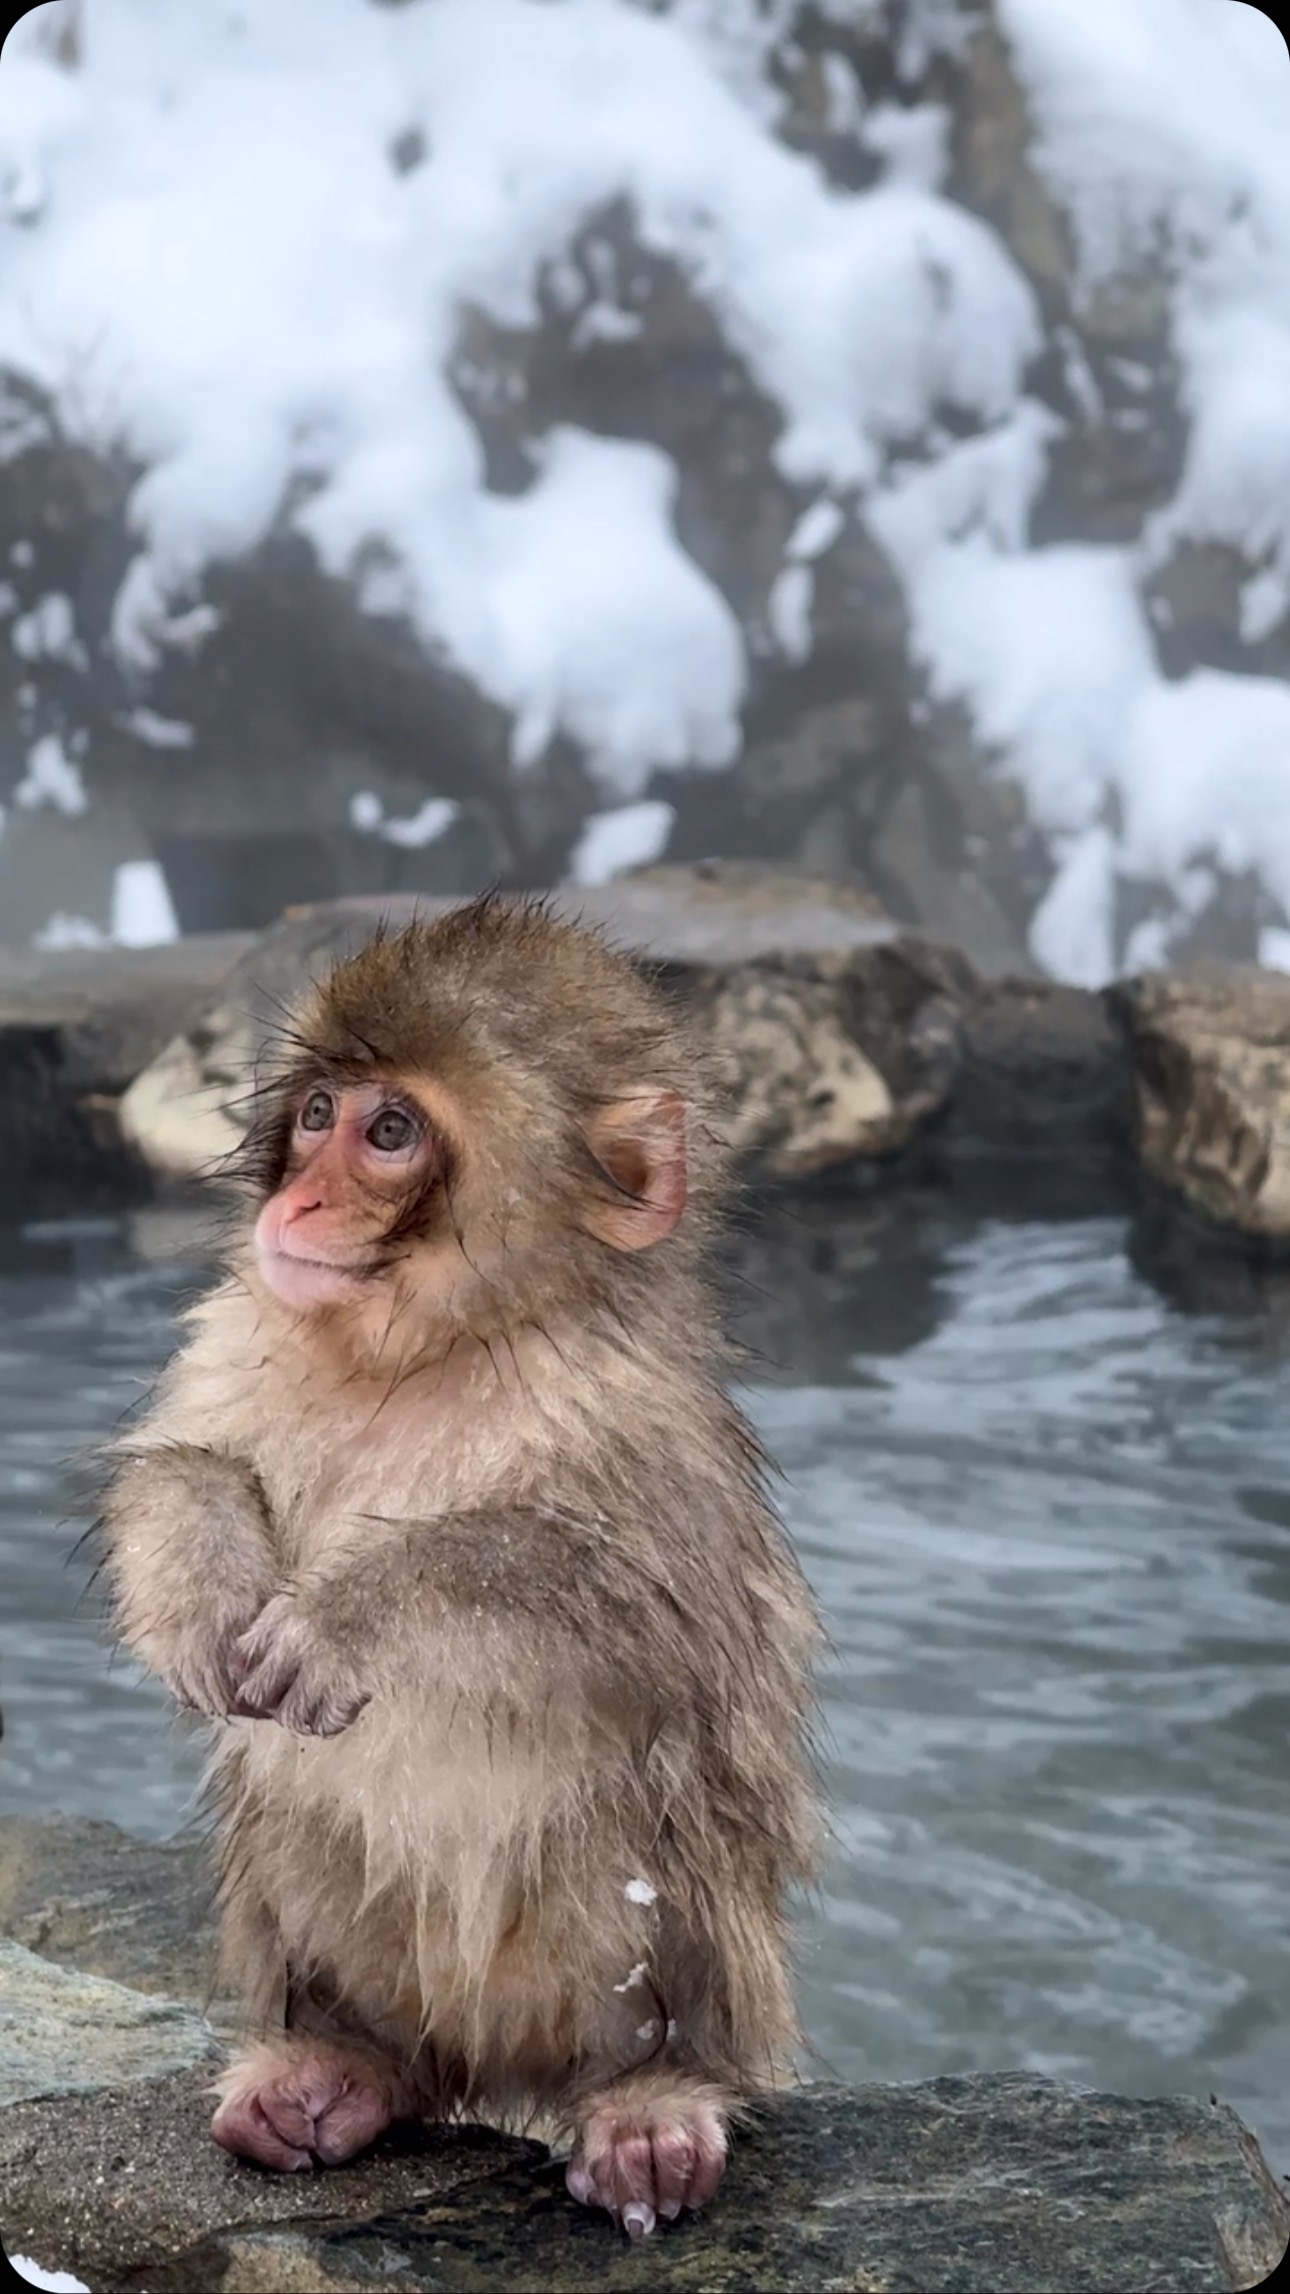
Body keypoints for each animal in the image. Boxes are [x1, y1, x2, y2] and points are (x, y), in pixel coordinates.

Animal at [95, 894, 823, 2238]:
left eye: (390, 1133)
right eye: (320, 1114)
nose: (299, 1203)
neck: (430, 1349)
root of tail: (494, 2066)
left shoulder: (640, 1417)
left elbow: (635, 1610)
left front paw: (343, 1619)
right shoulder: (247, 1319)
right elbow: (185, 1464)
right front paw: (206, 1594)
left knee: (639, 1826)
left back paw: (653, 2096)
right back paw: (343, 2064)